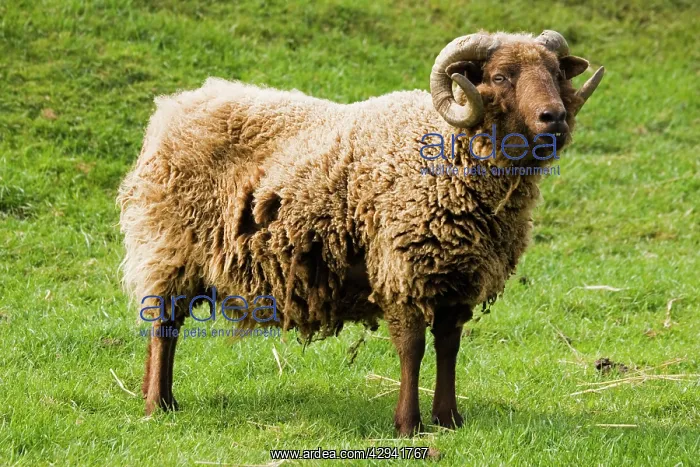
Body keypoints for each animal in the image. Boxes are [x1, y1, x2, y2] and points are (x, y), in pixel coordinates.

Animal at [118, 30, 604, 435]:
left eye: (556, 73)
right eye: (501, 76)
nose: (555, 117)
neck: (450, 151)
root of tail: (174, 106)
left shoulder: (458, 277)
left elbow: (448, 347)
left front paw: (449, 420)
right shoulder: (403, 269)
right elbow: (412, 349)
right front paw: (408, 426)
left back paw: (160, 397)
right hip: (171, 245)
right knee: (165, 325)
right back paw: (158, 404)